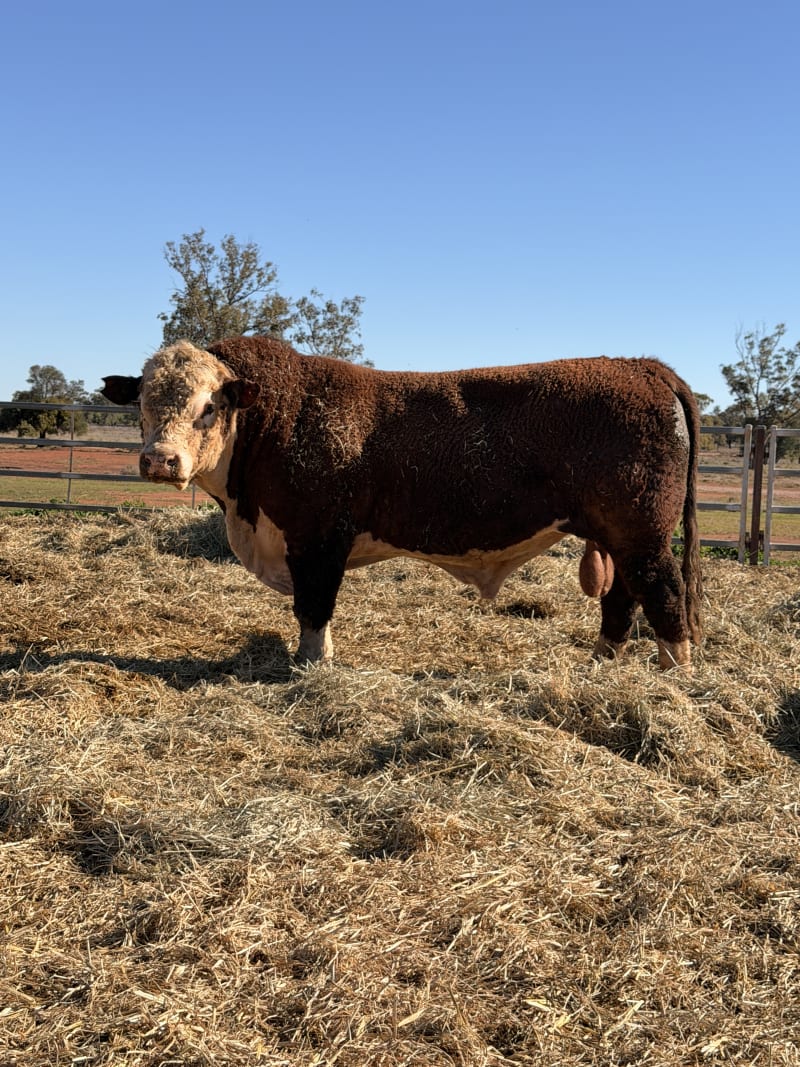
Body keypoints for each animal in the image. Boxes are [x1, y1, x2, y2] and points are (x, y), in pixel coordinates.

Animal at [101, 336, 702, 669]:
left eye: (208, 405)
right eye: (143, 403)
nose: (159, 460)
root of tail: (640, 365)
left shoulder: (318, 539)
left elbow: (314, 608)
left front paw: (310, 667)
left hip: (643, 534)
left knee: (664, 596)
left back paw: (674, 676)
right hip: (619, 536)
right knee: (622, 598)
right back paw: (602, 663)